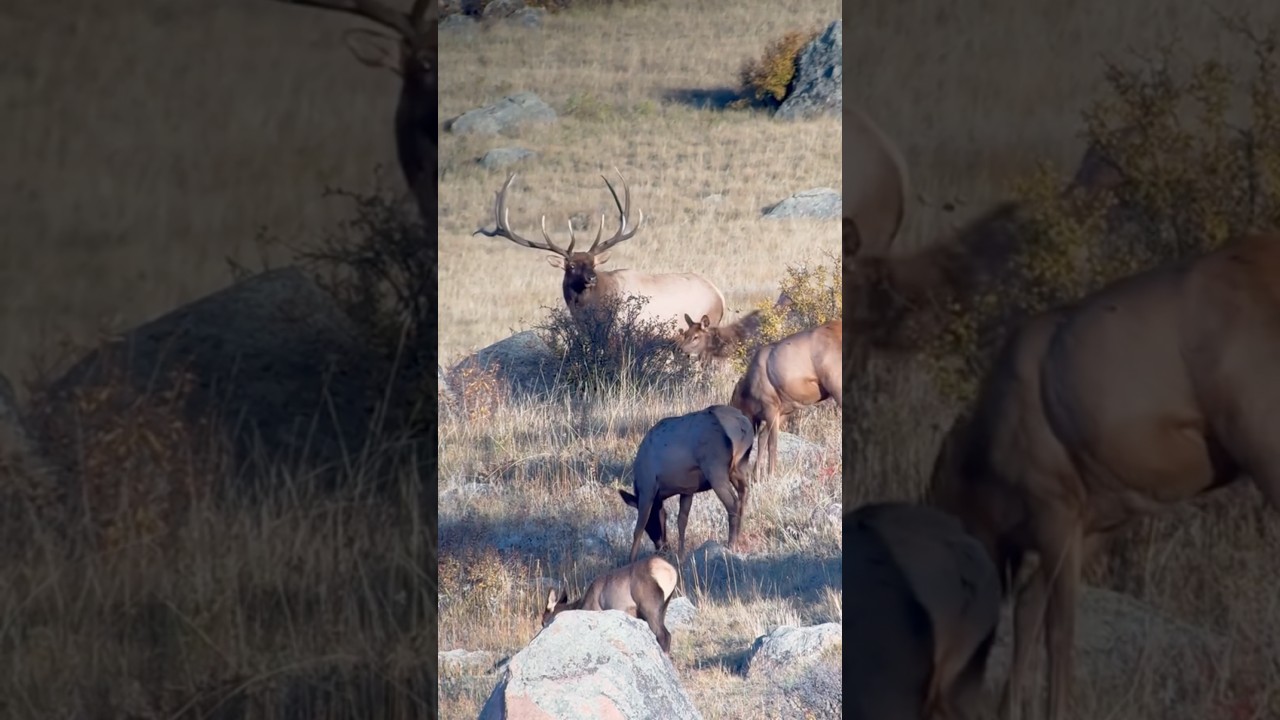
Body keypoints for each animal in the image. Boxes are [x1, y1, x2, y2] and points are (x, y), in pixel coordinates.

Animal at [541, 555, 679, 654]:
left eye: (543, 622)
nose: (541, 629)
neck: (581, 605)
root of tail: (671, 572)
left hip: (649, 607)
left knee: (664, 635)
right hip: (663, 607)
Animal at [619, 405, 755, 564]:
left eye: (651, 526)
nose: (663, 547)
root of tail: (743, 424)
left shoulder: (648, 487)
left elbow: (638, 528)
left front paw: (631, 560)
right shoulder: (687, 490)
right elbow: (681, 521)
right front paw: (681, 555)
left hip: (716, 468)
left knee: (732, 503)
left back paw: (731, 544)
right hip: (738, 466)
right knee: (744, 493)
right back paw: (738, 537)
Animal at [729, 320, 841, 480]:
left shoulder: (771, 407)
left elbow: (772, 444)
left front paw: (771, 475)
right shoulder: (783, 412)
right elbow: (763, 438)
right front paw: (757, 476)